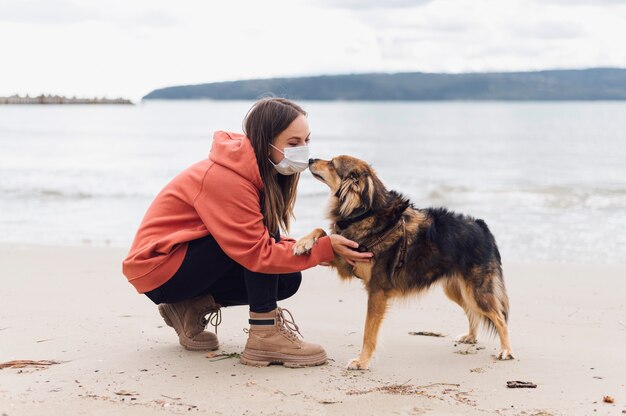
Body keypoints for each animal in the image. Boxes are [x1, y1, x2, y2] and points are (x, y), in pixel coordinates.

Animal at [292, 156, 512, 370]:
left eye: (332, 163)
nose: (310, 159)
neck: (366, 212)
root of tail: (482, 226)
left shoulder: (377, 290)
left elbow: (368, 332)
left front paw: (362, 361)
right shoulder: (347, 257)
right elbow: (323, 233)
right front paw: (303, 243)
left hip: (476, 291)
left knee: (499, 317)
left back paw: (506, 350)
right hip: (456, 289)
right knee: (472, 311)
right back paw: (471, 337)